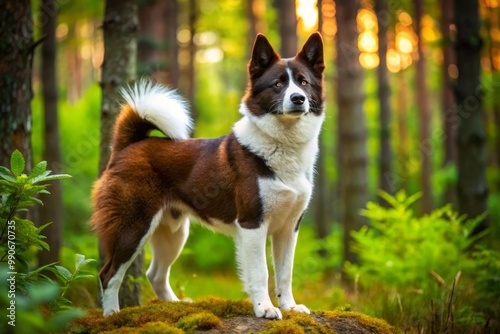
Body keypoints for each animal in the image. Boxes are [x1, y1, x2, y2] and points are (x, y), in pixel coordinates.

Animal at [92, 32, 326, 320]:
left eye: (304, 82)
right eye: (278, 84)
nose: (298, 98)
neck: (283, 146)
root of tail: (128, 145)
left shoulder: (289, 228)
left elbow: (285, 272)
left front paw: (290, 306)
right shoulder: (252, 224)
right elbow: (261, 272)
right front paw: (265, 308)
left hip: (173, 233)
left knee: (155, 274)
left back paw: (176, 306)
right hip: (133, 227)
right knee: (108, 274)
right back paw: (112, 314)